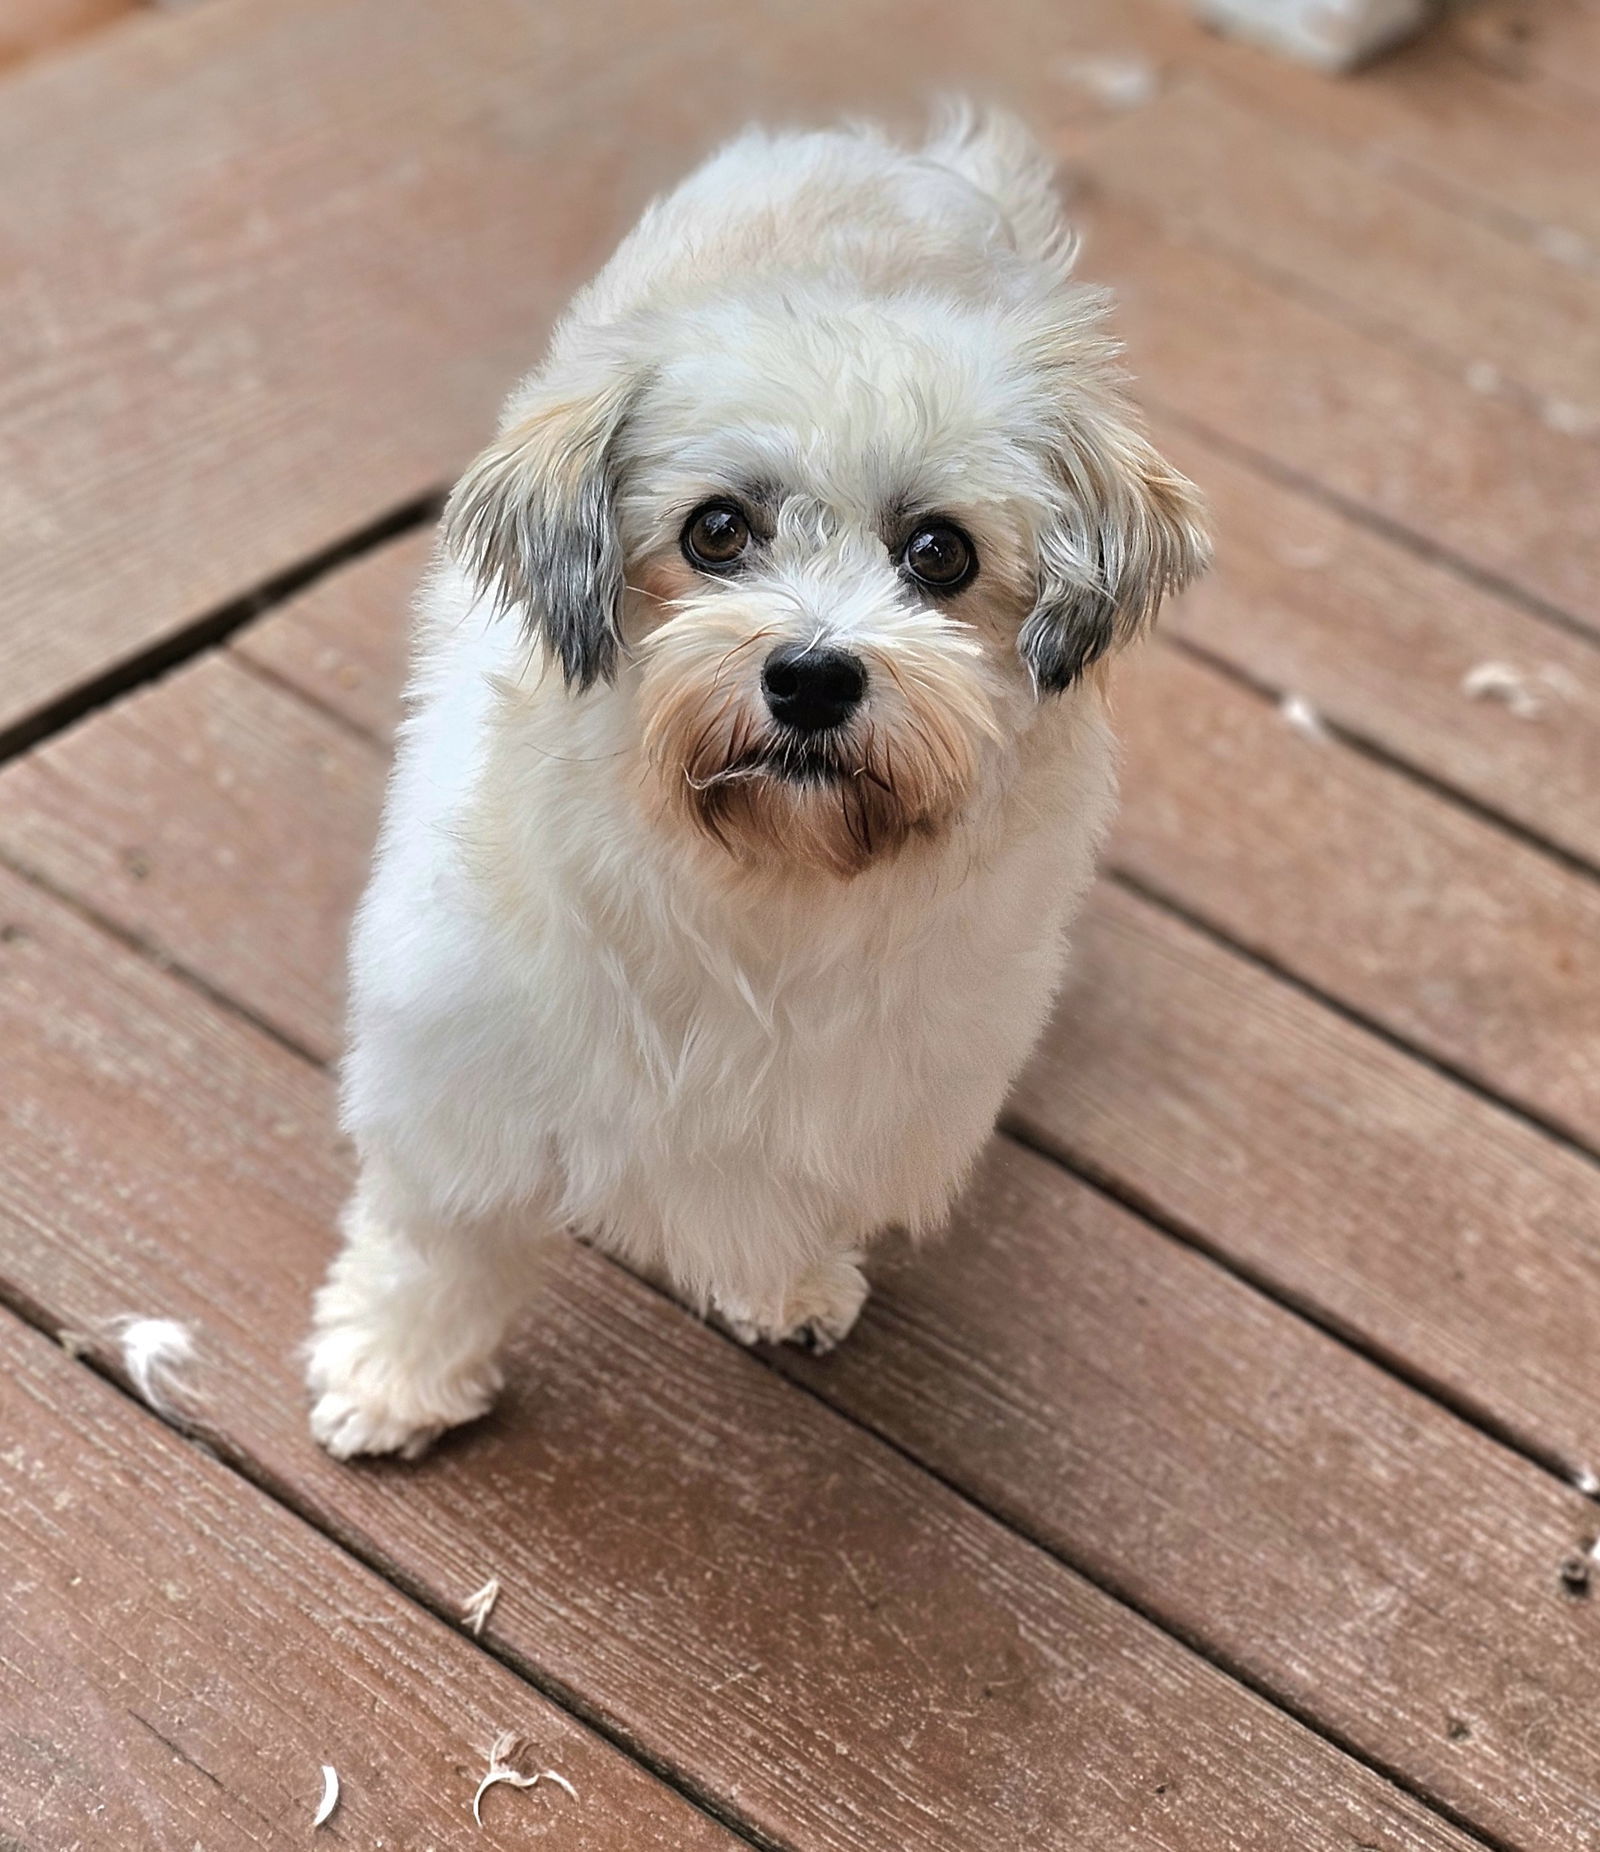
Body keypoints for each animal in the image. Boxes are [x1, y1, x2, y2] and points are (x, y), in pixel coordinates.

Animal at [305, 112, 1207, 1459]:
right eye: (716, 531)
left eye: (939, 554)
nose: (814, 676)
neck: (759, 882)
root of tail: (903, 155)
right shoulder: (463, 1060)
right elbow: (439, 1241)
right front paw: (395, 1375)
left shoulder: (861, 1088)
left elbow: (790, 1187)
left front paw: (785, 1281)